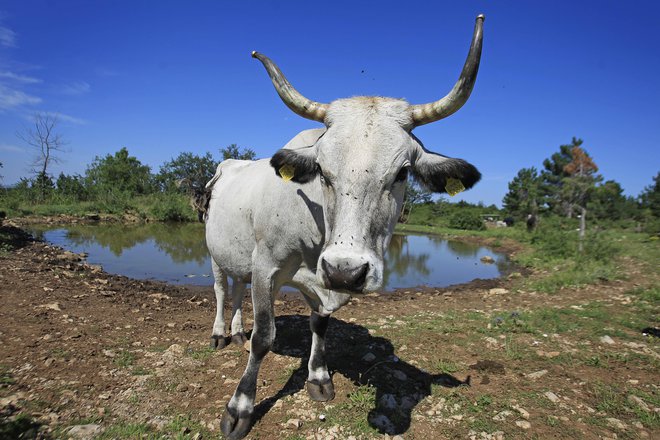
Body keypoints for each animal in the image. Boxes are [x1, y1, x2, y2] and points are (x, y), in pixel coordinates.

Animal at [205, 14, 484, 440]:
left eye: (403, 172)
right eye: (321, 169)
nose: (347, 271)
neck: (316, 230)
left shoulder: (320, 282)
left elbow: (320, 325)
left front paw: (318, 377)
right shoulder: (266, 266)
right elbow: (263, 337)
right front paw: (240, 408)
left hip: (240, 259)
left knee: (237, 290)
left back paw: (235, 329)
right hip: (215, 255)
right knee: (222, 291)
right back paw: (221, 333)